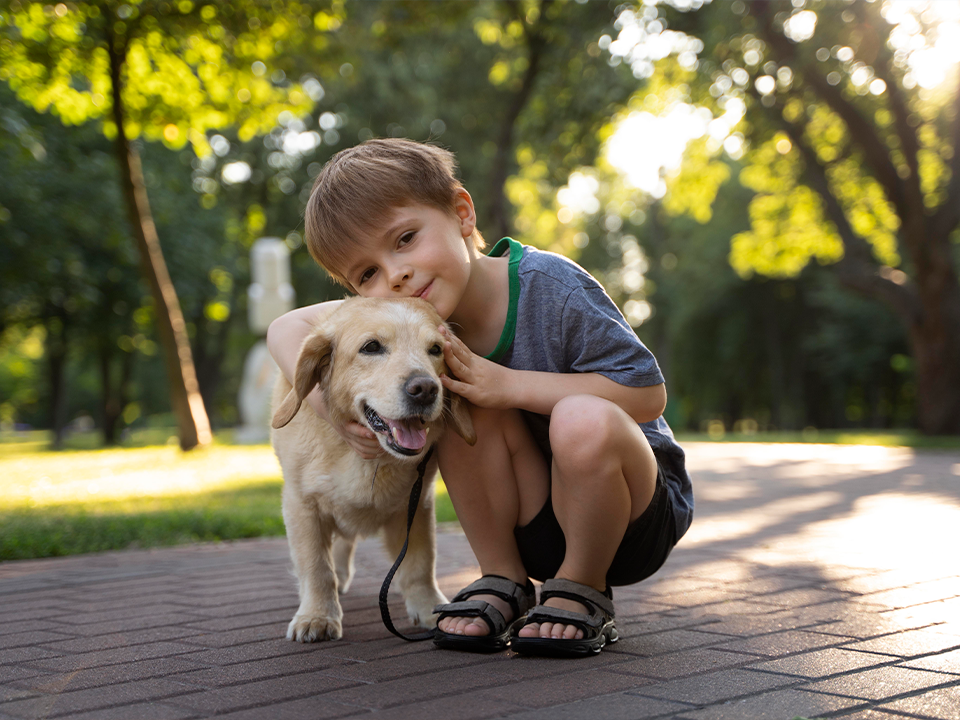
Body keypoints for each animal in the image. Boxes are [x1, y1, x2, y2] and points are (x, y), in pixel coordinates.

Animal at [268, 296, 474, 644]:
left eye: (435, 349)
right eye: (372, 347)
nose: (425, 389)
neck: (369, 459)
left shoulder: (417, 504)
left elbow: (420, 563)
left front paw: (428, 608)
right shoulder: (301, 505)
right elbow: (316, 566)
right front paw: (317, 616)